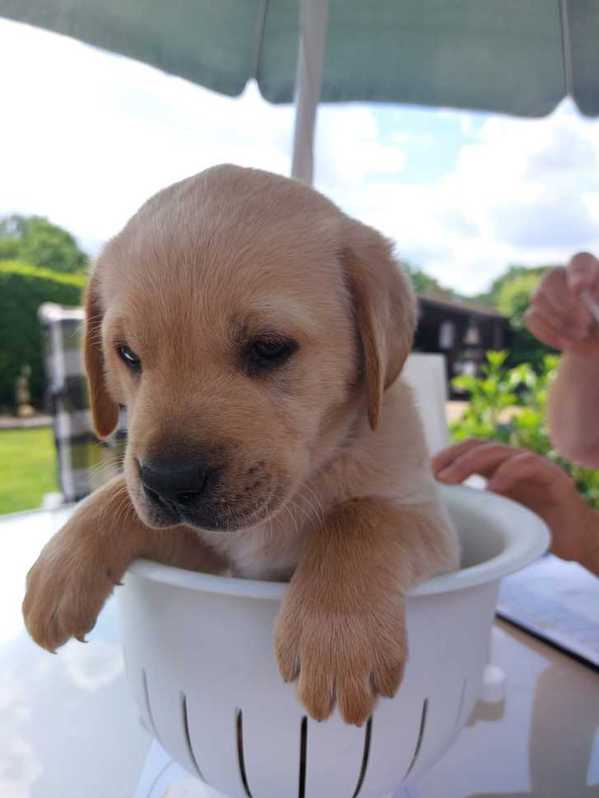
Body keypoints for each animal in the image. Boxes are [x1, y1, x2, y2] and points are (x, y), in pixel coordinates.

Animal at [21, 166, 458, 728]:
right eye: (127, 355)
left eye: (269, 348)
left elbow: (361, 517)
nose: (168, 481)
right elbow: (119, 497)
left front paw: (337, 639)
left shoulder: (431, 523)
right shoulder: (211, 557)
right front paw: (60, 567)